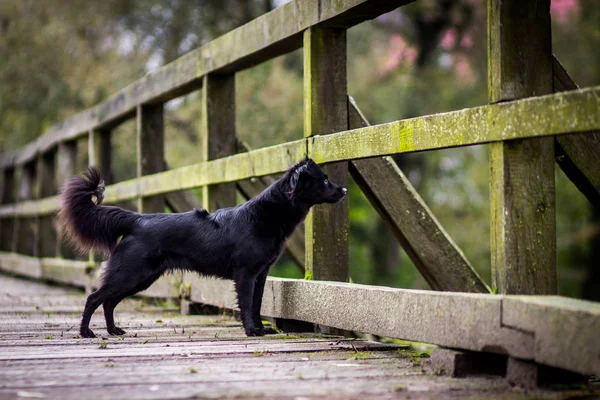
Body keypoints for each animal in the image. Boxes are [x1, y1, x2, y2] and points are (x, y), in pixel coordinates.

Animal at [59, 158, 346, 336]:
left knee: (108, 302)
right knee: (94, 298)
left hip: (140, 278)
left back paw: (114, 331)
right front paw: (251, 331)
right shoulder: (245, 274)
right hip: (131, 274)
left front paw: (261, 328)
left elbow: (256, 303)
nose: (343, 190)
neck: (265, 214)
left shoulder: (261, 274)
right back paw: (86, 332)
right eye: (323, 180)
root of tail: (137, 219)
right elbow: (246, 303)